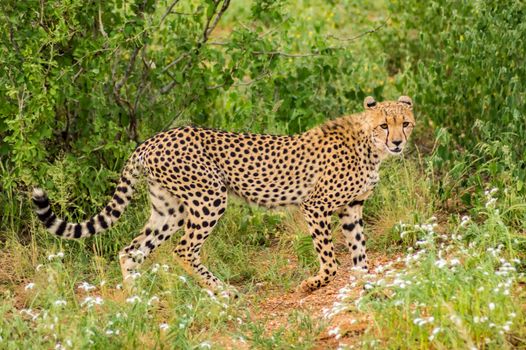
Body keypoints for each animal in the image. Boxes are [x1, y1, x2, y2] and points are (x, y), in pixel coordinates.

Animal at [32, 95, 416, 292]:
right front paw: (315, 283)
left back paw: (135, 299)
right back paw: (221, 289)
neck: (369, 146)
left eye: (406, 123)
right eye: (385, 125)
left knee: (132, 250)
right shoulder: (315, 205)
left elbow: (359, 252)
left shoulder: (352, 208)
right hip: (209, 198)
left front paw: (366, 286)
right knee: (184, 249)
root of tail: (151, 140)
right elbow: (331, 258)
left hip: (169, 209)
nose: (398, 142)